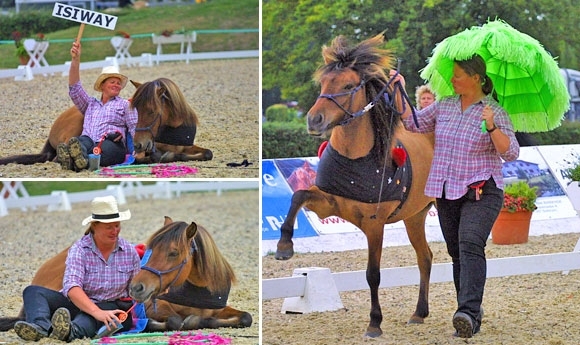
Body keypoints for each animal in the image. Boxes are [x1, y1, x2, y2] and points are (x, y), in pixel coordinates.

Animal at [0, 77, 212, 165]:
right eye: (134, 110)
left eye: (152, 111)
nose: (138, 144)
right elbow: (160, 156)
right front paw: (165, 156)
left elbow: (207, 153)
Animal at [0, 216, 251, 332]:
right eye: (151, 249)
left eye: (173, 252)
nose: (137, 287)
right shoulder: (153, 306)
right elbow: (175, 320)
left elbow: (246, 317)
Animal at [276, 33, 436, 336]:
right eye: (323, 83)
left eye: (349, 86)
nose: (314, 120)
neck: (356, 158)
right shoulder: (327, 203)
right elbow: (298, 196)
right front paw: (284, 246)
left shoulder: (374, 224)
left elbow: (373, 274)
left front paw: (375, 322)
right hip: (415, 216)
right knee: (425, 257)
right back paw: (420, 312)